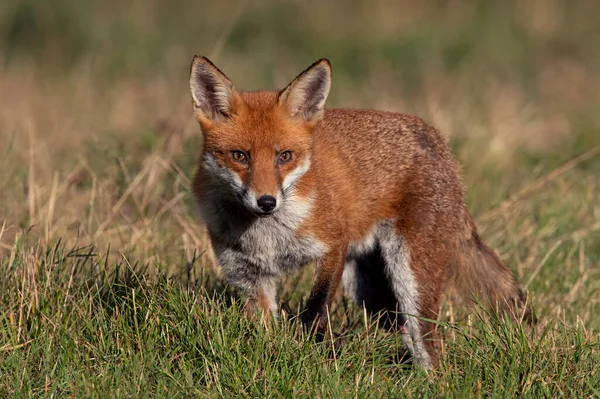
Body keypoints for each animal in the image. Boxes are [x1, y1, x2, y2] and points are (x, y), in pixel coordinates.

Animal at [189, 55, 536, 368]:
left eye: (284, 156)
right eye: (240, 156)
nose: (266, 202)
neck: (268, 237)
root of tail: (438, 141)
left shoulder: (332, 246)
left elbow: (314, 312)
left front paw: (315, 359)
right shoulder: (247, 274)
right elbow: (262, 331)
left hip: (411, 276)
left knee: (427, 341)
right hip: (369, 291)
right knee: (401, 327)